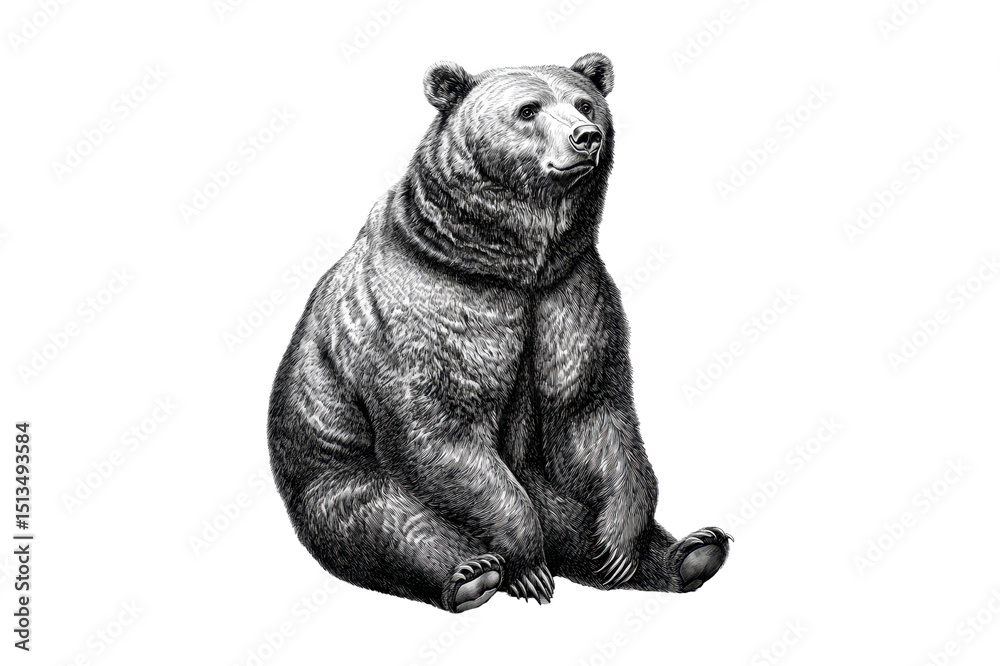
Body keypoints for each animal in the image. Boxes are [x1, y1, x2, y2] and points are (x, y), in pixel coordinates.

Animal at [267, 53, 731, 613]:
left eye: (584, 103)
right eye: (528, 109)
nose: (587, 136)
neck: (507, 265)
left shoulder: (570, 296)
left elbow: (590, 412)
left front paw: (620, 544)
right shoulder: (436, 312)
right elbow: (443, 430)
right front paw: (527, 565)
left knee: (572, 517)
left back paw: (691, 552)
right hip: (334, 470)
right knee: (385, 522)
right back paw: (475, 573)